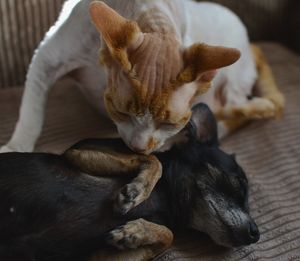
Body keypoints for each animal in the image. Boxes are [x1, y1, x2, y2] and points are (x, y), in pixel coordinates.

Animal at [0, 103, 258, 260]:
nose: (255, 234)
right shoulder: (77, 151)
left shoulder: (97, 257)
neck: (167, 201)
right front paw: (135, 192)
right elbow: (154, 160)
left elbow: (168, 236)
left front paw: (133, 233)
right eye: (239, 181)